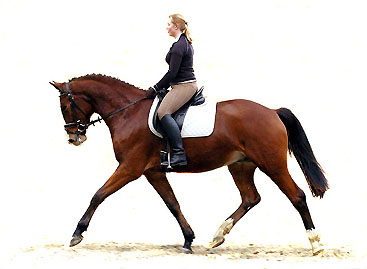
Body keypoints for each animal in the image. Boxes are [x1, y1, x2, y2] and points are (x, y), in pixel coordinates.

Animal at [50, 73, 330, 253]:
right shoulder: (153, 172)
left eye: (64, 105)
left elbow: (98, 195)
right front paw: (188, 239)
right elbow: (173, 204)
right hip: (241, 165)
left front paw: (77, 234)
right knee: (251, 197)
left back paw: (315, 242)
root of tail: (272, 112)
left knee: (297, 196)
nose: (74, 138)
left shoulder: (130, 168)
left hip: (272, 164)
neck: (128, 112)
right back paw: (218, 236)